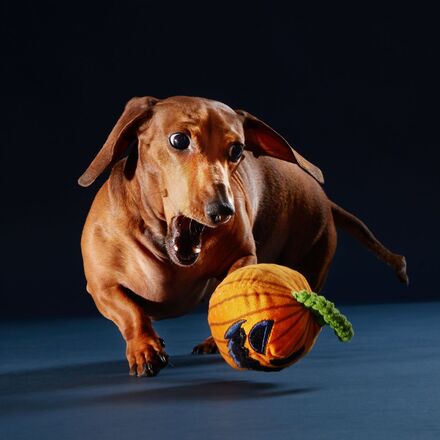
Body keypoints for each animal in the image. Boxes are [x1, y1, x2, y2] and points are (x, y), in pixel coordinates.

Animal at [77, 94, 408, 376]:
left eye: (236, 150)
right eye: (179, 140)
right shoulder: (102, 288)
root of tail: (325, 200)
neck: (164, 248)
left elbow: (224, 294)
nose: (223, 210)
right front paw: (145, 348)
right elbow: (132, 313)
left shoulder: (244, 257)